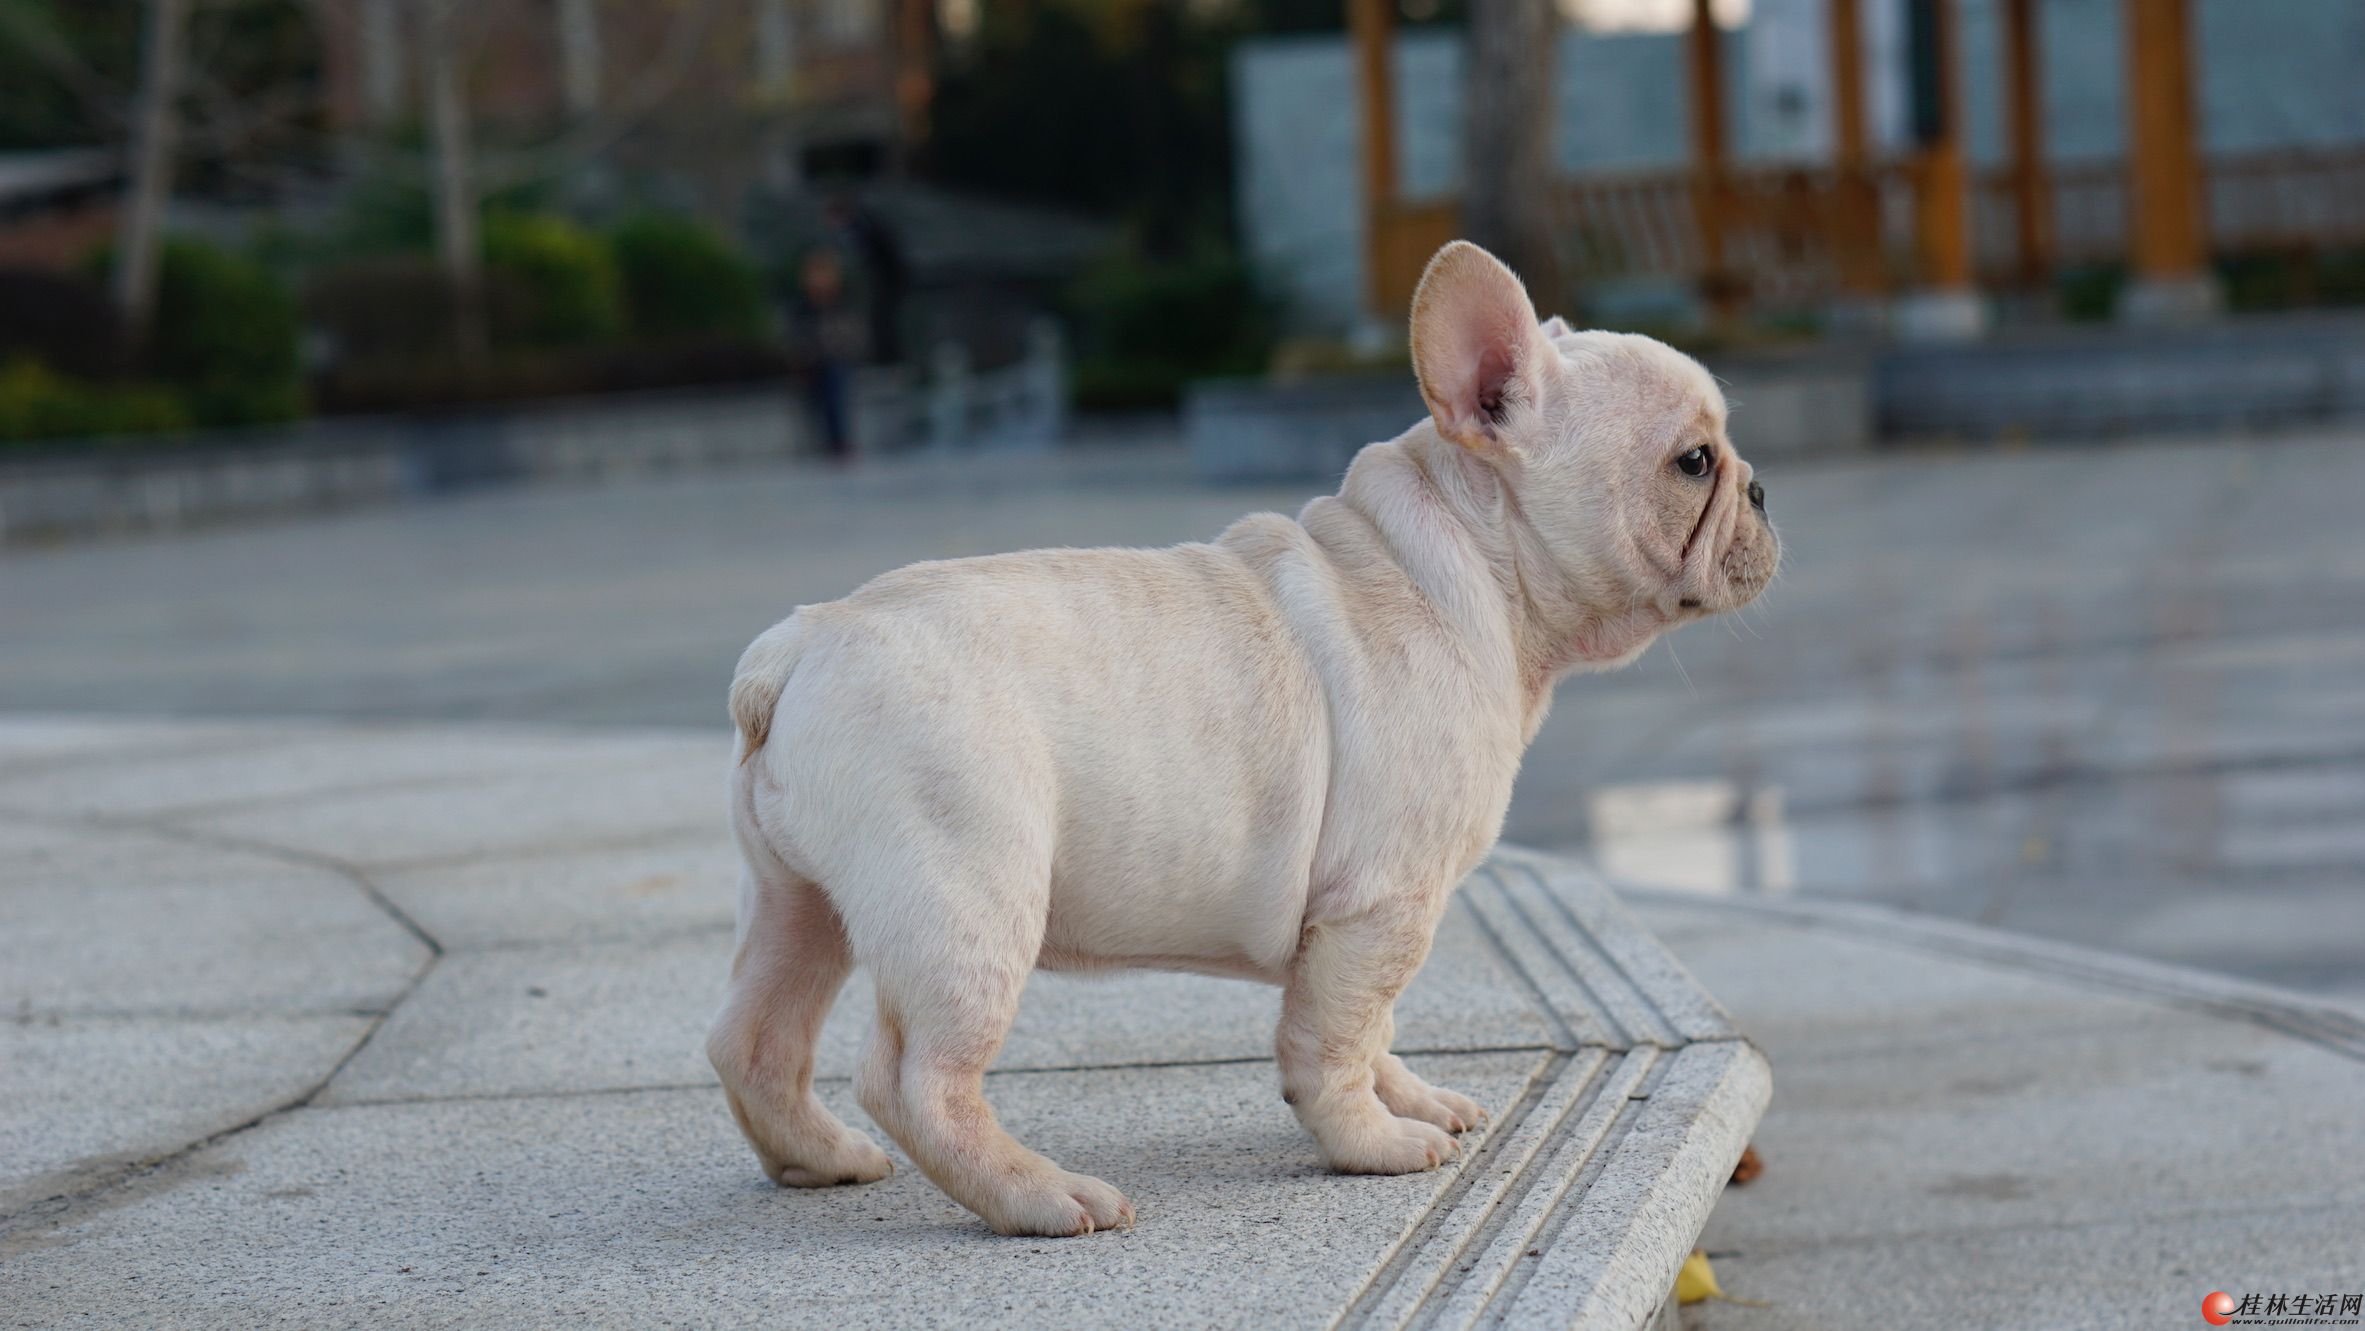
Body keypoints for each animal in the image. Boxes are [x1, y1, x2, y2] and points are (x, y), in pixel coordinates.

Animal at [700, 242, 1778, 1238]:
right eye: (1692, 461)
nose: (1763, 490)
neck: (1460, 563)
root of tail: (798, 645)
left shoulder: (1365, 926)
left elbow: (1372, 1023)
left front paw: (1412, 1098)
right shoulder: (1380, 903)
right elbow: (1333, 1042)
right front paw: (1371, 1143)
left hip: (799, 901)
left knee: (755, 1035)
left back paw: (819, 1157)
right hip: (968, 898)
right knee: (919, 1077)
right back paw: (1038, 1193)